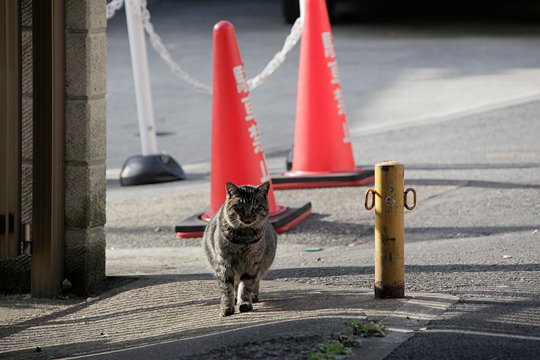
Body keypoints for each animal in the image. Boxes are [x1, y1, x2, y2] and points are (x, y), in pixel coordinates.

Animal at [204, 181, 278, 316]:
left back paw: (252, 296)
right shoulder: (224, 263)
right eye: (239, 206)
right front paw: (227, 306)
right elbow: (226, 287)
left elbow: (246, 286)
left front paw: (244, 303)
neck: (244, 238)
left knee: (254, 282)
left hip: (261, 266)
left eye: (256, 206)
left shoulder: (252, 264)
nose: (248, 215)